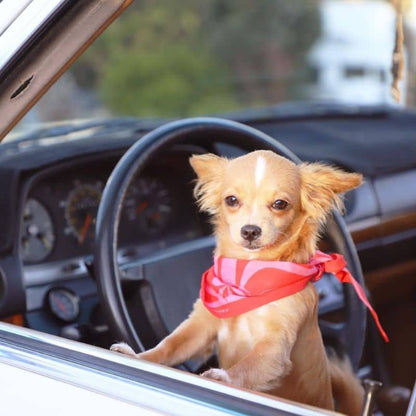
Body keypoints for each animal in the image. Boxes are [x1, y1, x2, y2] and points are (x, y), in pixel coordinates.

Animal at [112, 151, 366, 414]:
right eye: (231, 200)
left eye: (280, 204)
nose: (250, 230)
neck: (247, 275)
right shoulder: (200, 327)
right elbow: (169, 344)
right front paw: (138, 358)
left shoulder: (275, 347)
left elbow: (249, 365)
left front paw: (223, 378)